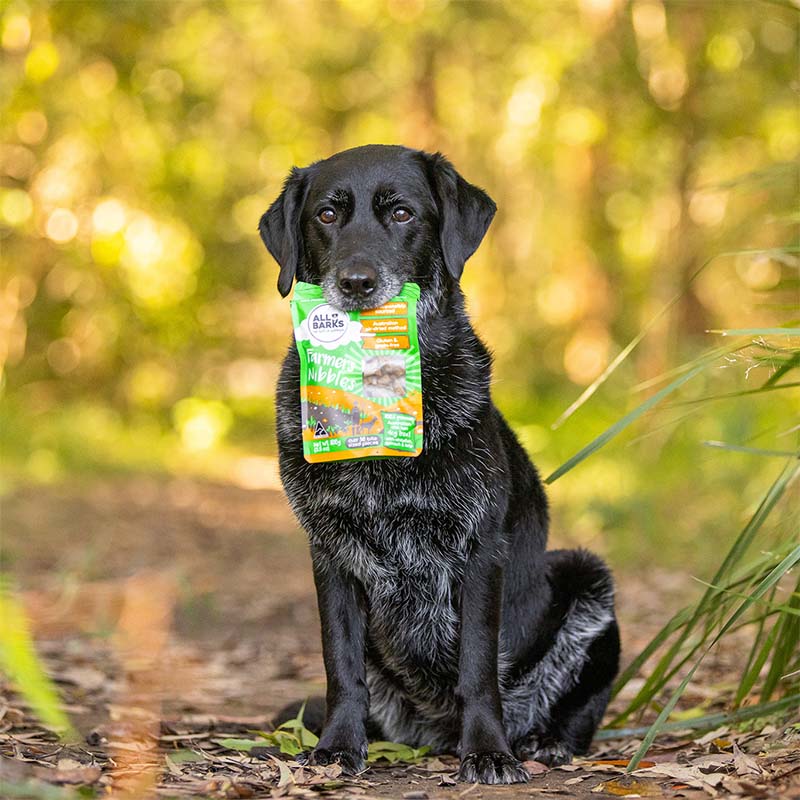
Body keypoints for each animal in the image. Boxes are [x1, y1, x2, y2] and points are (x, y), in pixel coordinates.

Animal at [260, 144, 620, 780]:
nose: (356, 282)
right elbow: (341, 666)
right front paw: (338, 746)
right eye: (326, 215)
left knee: (576, 709)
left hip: (587, 575)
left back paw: (544, 741)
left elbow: (478, 668)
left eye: (402, 213)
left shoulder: (479, 550)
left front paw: (489, 752)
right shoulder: (331, 554)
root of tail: (431, 735)